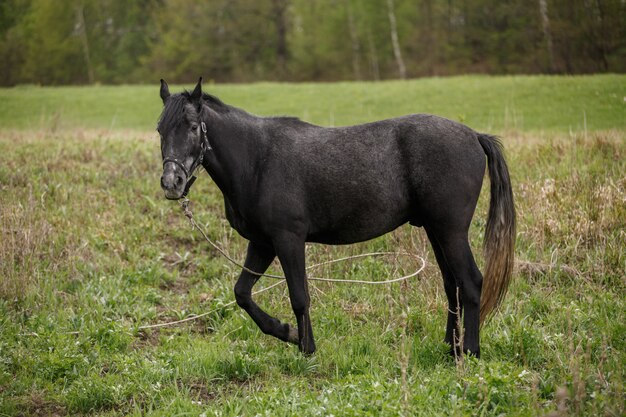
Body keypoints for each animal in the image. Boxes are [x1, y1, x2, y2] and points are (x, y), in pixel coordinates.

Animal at [158, 79, 516, 358]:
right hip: (435, 230)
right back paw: (451, 347)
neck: (257, 159)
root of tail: (474, 135)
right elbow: (242, 293)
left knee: (470, 282)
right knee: (451, 284)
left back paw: (469, 350)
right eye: (160, 129)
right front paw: (287, 332)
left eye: (193, 127)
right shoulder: (262, 243)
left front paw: (306, 347)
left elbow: (299, 296)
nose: (172, 182)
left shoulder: (288, 240)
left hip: (451, 230)